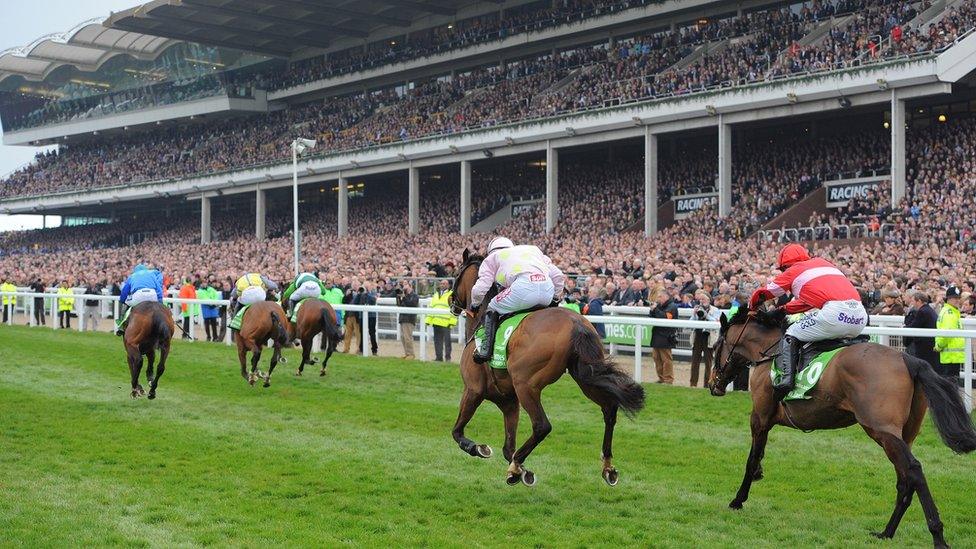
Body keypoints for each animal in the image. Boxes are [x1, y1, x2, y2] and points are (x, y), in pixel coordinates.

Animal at [450, 248, 648, 484]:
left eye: (456, 274)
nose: (451, 301)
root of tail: (577, 324)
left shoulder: (473, 389)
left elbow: (458, 432)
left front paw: (481, 449)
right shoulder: (509, 401)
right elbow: (508, 448)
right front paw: (523, 470)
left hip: (526, 384)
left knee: (542, 425)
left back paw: (515, 468)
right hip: (585, 376)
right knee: (609, 409)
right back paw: (607, 466)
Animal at [708, 306, 976, 544]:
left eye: (715, 347)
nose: (713, 384)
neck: (769, 352)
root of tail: (907, 358)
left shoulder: (760, 417)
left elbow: (751, 458)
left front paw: (738, 500)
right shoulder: (766, 420)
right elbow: (759, 454)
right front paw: (757, 475)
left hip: (882, 430)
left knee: (914, 470)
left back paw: (937, 535)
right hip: (904, 434)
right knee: (904, 479)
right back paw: (886, 532)